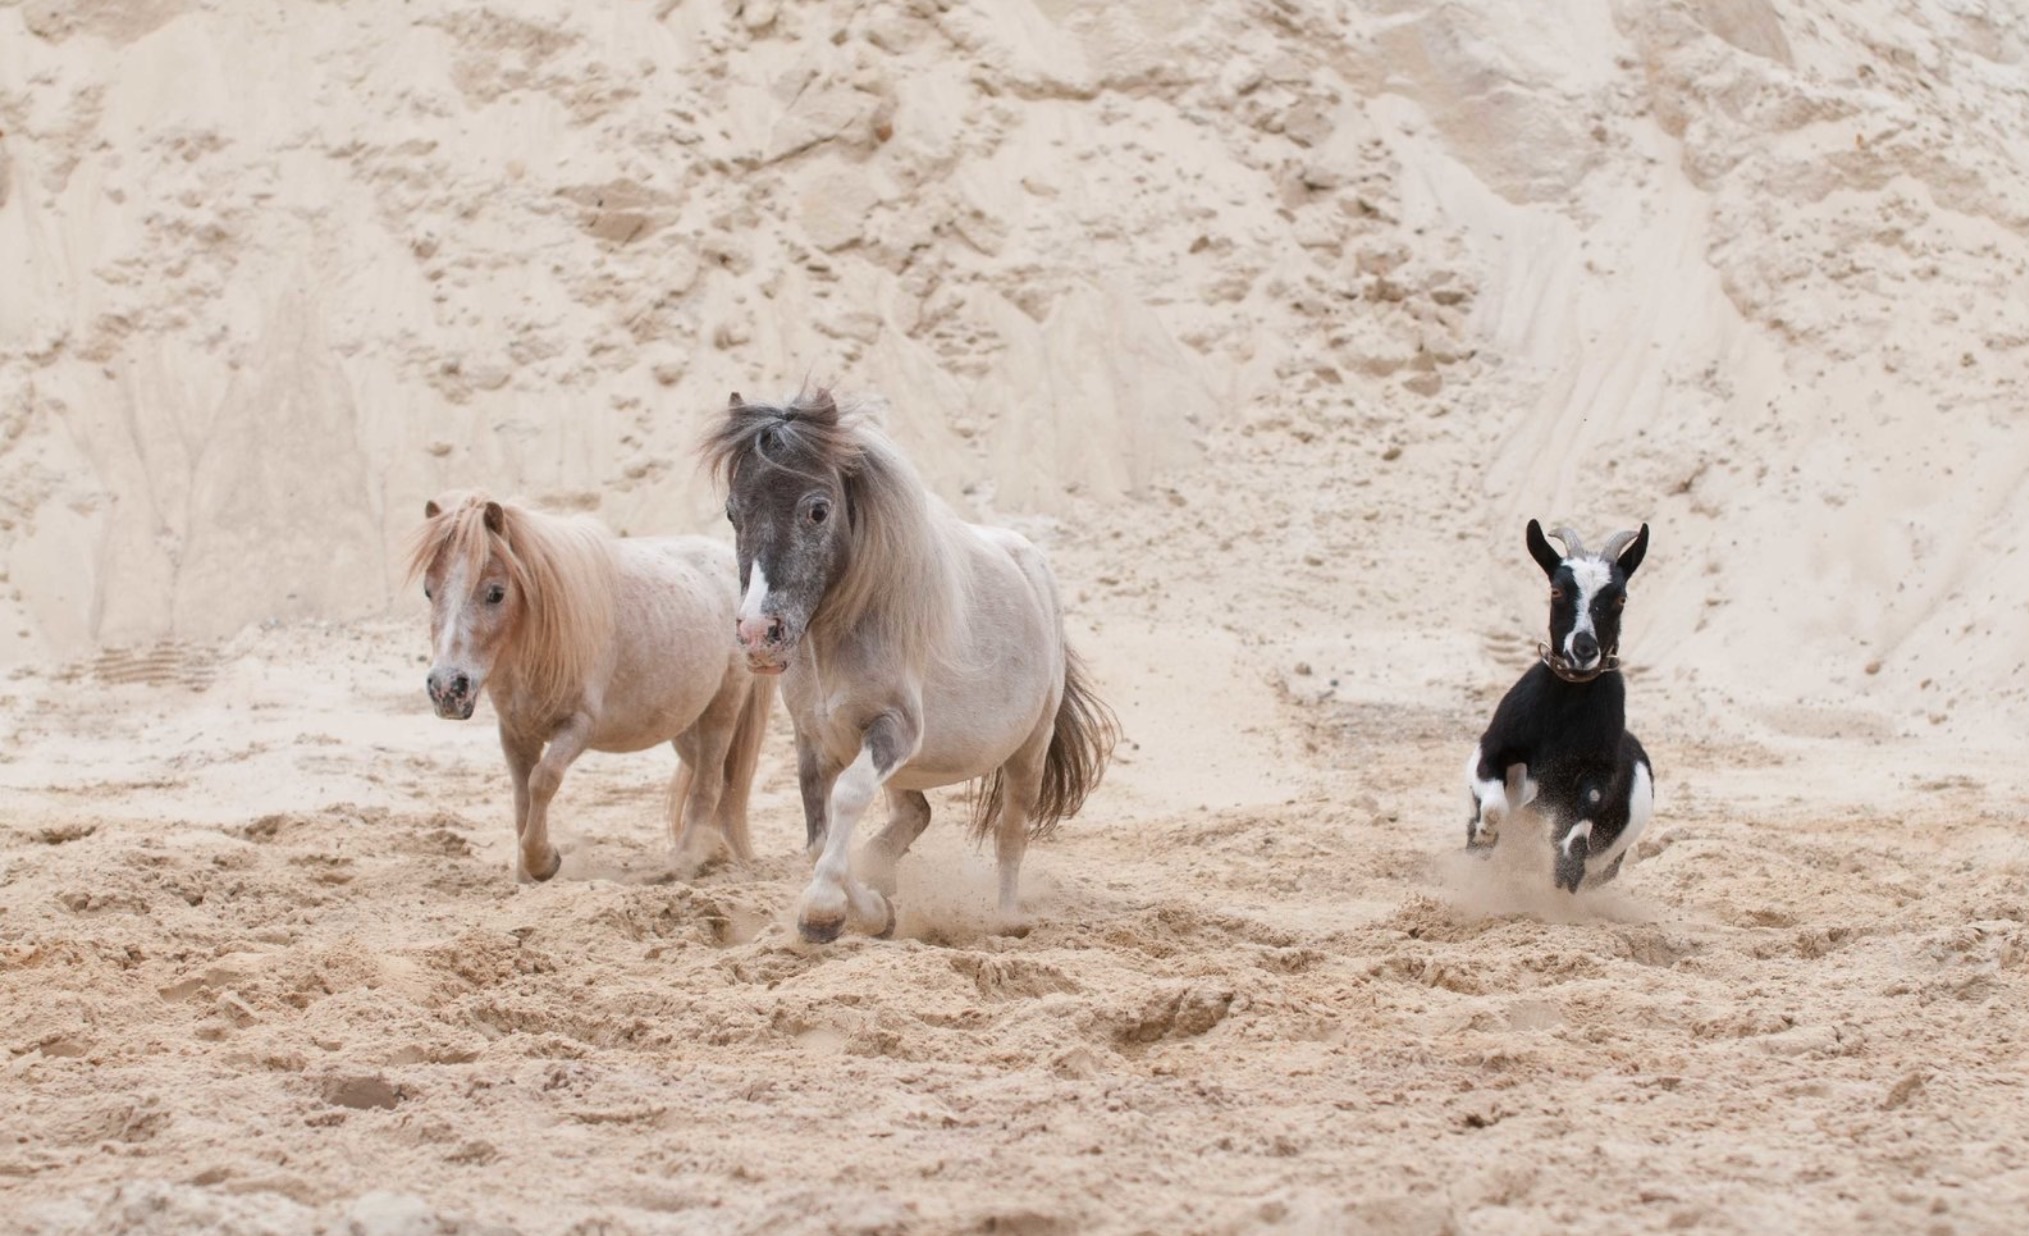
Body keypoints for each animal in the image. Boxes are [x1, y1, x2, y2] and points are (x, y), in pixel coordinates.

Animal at [407, 489, 771, 876]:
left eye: (495, 593)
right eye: (428, 591)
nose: (447, 688)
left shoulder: (579, 726)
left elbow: (543, 780)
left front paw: (543, 861)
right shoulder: (516, 733)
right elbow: (521, 797)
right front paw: (525, 872)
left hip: (722, 711)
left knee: (709, 784)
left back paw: (681, 864)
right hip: (686, 725)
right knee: (717, 784)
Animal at [706, 389, 1120, 941]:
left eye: (817, 510)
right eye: (733, 512)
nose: (758, 634)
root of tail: (1032, 563)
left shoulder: (894, 728)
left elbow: (848, 797)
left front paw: (823, 909)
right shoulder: (814, 740)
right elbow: (819, 836)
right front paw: (872, 911)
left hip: (1029, 749)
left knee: (1010, 833)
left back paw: (1006, 918)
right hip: (910, 770)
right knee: (916, 814)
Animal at [1468, 517, 1655, 884]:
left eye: (1620, 598)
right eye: (1557, 591)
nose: (1583, 650)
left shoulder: (1596, 775)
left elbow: (1581, 822)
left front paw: (1566, 868)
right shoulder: (1491, 749)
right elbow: (1495, 809)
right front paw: (1485, 835)